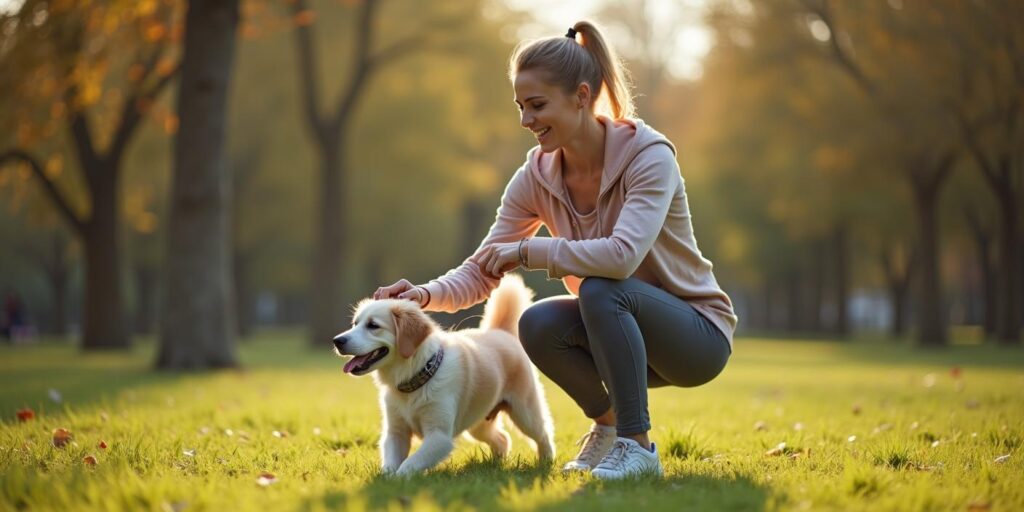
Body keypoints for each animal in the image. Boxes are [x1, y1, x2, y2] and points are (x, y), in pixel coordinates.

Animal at [335, 276, 557, 475]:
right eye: (355, 324)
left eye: (373, 325)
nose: (337, 340)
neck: (415, 379)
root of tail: (501, 331)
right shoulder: (396, 432)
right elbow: (390, 465)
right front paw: (385, 481)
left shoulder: (439, 436)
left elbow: (408, 465)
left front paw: (398, 481)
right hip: (479, 422)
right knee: (503, 439)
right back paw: (495, 465)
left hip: (525, 412)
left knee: (543, 434)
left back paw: (546, 463)